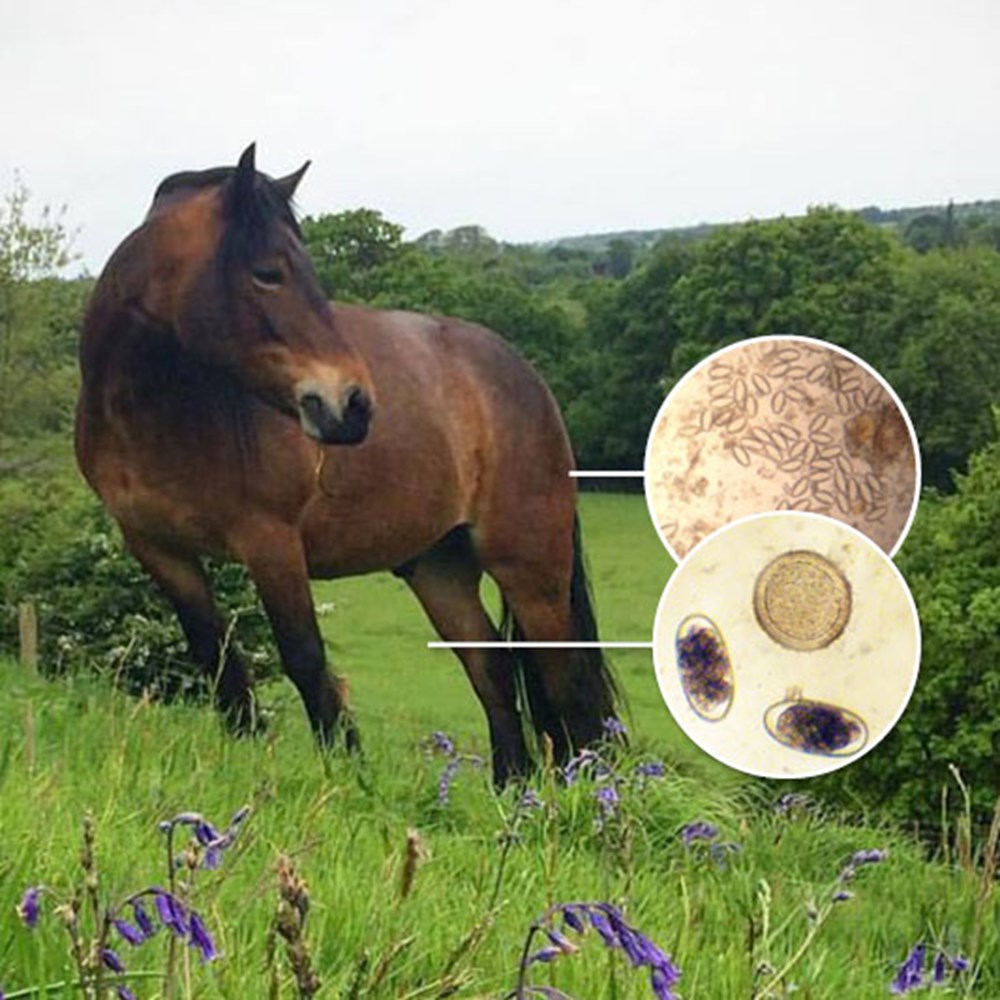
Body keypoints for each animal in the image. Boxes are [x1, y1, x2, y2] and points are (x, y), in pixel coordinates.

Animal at [75, 144, 619, 785]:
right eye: (268, 272)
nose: (355, 404)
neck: (156, 409)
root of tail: (526, 377)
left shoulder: (271, 542)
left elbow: (306, 658)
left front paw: (348, 773)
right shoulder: (156, 546)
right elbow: (215, 655)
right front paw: (243, 754)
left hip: (530, 566)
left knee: (570, 683)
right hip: (439, 567)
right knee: (491, 667)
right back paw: (512, 788)